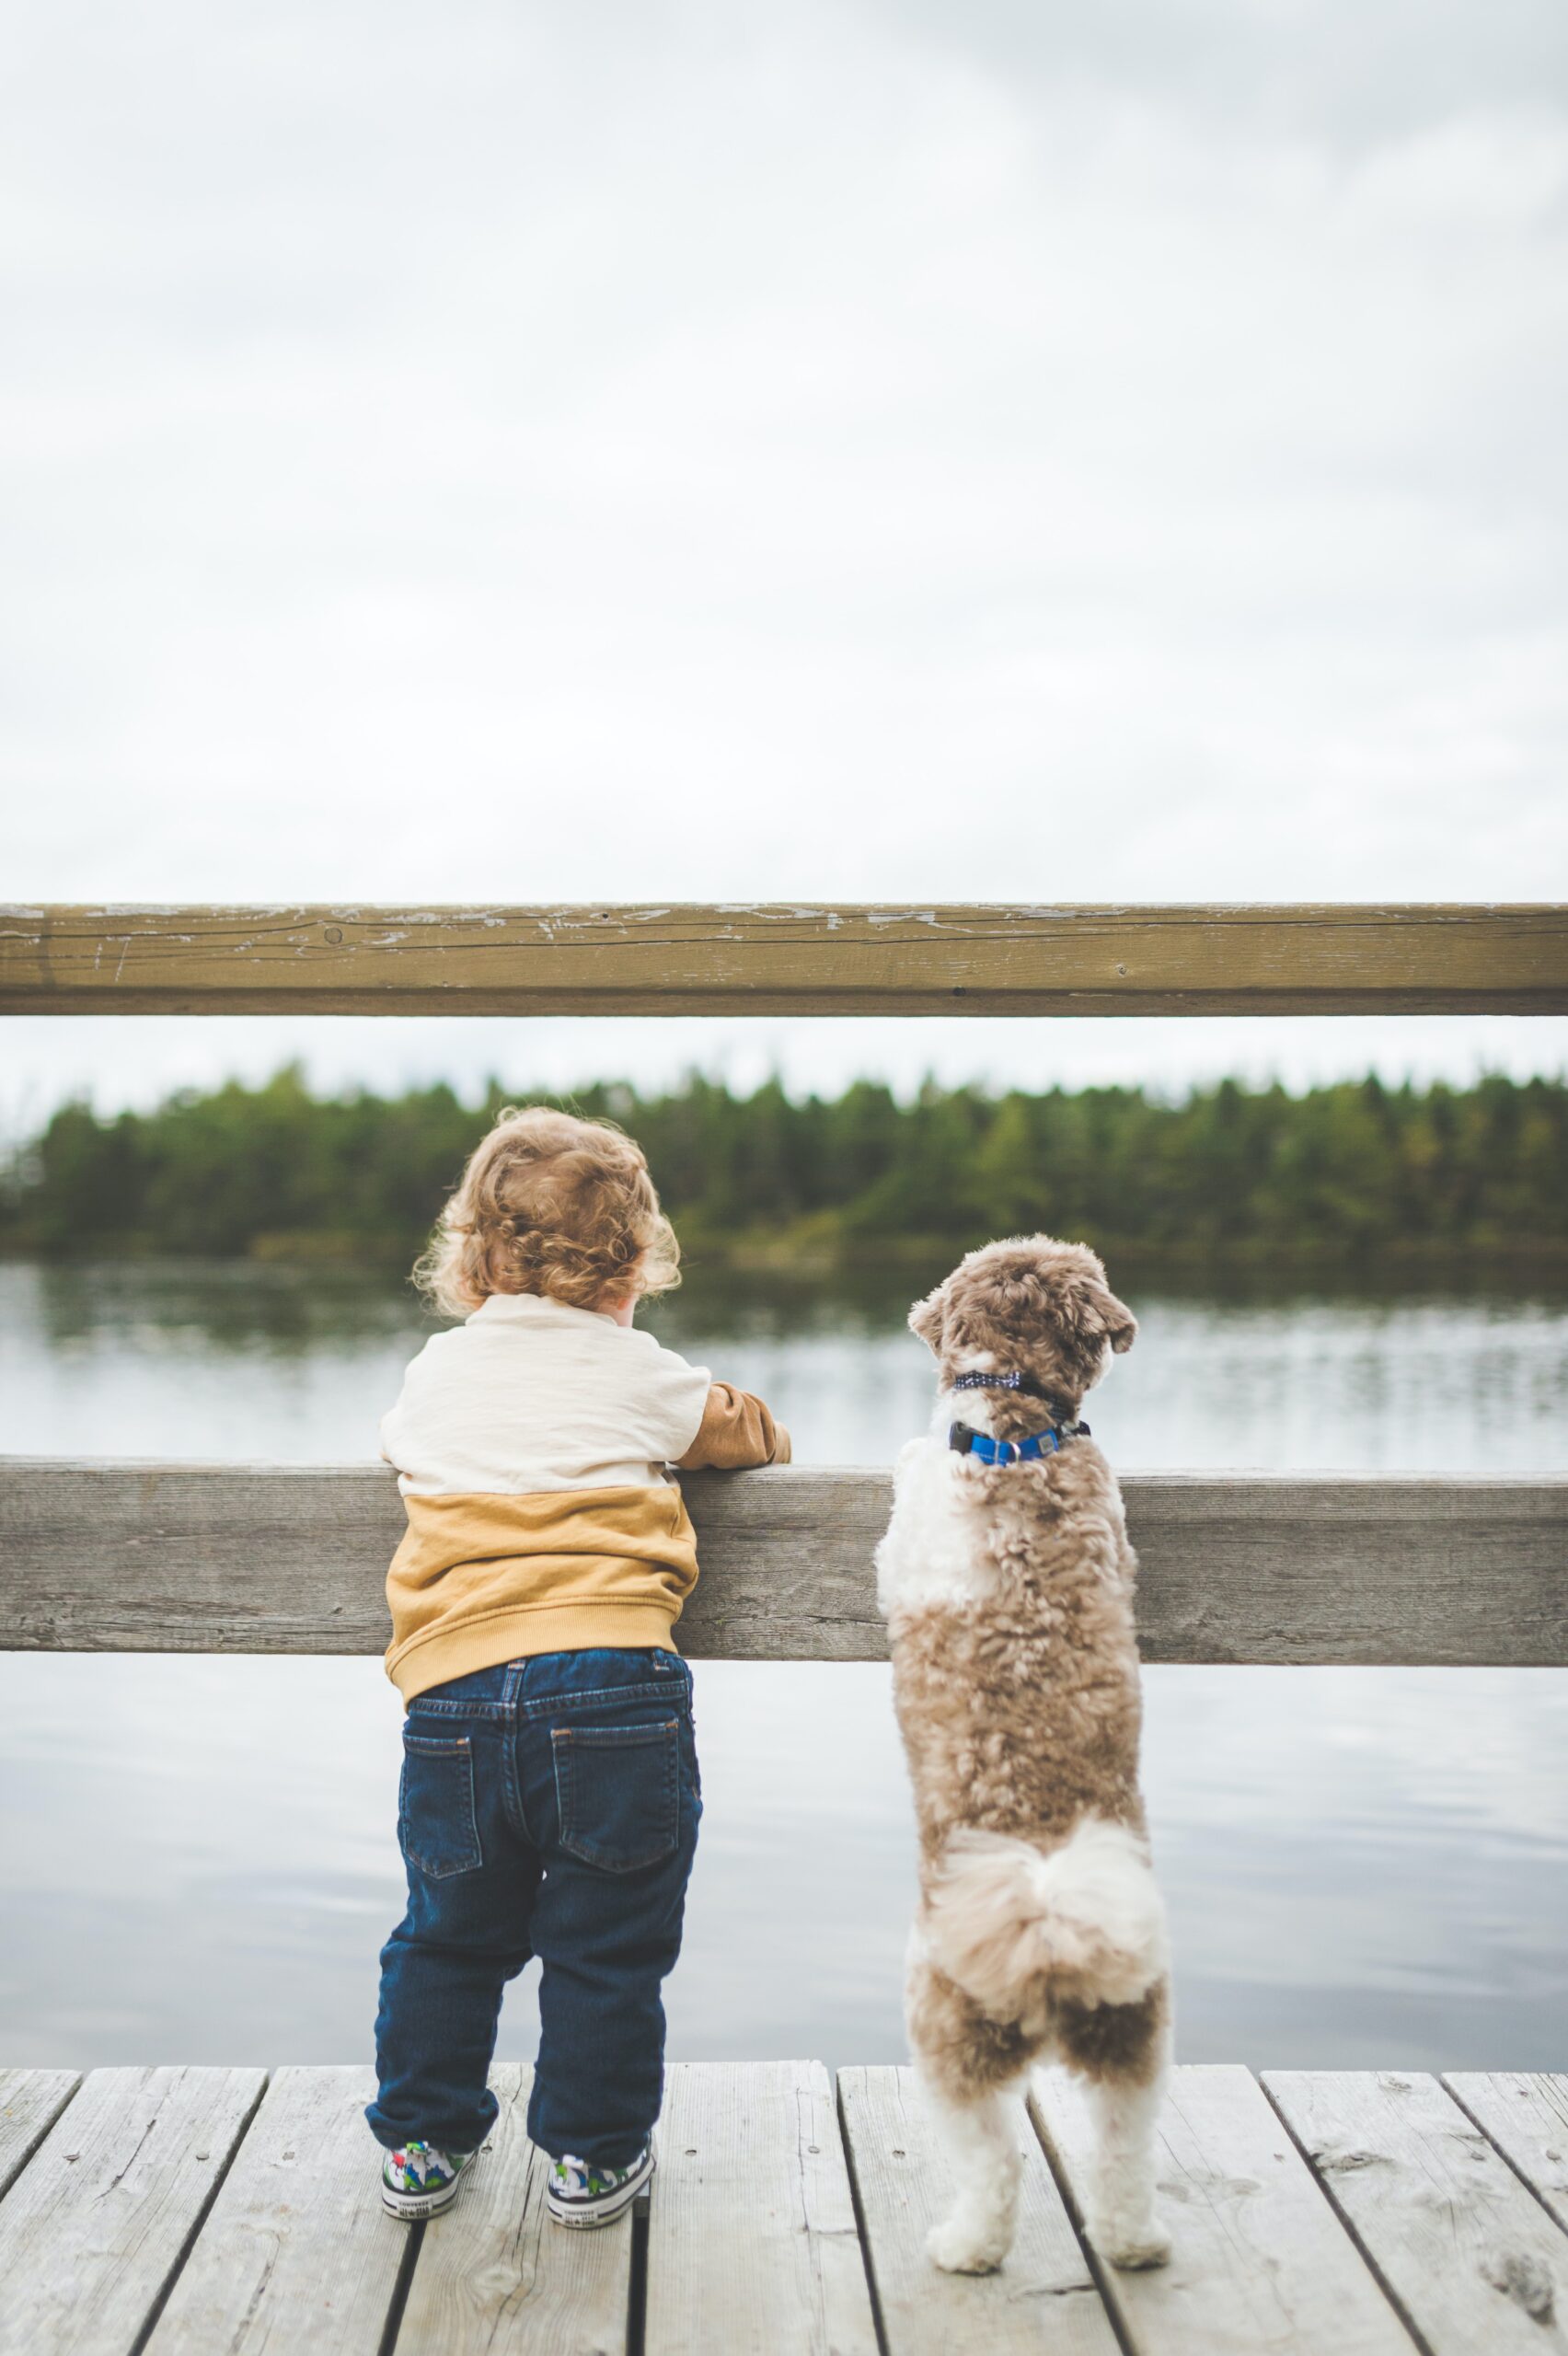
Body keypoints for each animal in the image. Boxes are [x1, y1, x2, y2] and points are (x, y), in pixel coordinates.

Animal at [870, 1243, 1168, 2270]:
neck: (1018, 1431)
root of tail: (1048, 1941)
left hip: (945, 2032)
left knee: (993, 2161)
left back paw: (964, 2245)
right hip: (1130, 2036)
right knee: (1122, 2150)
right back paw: (1133, 2242)